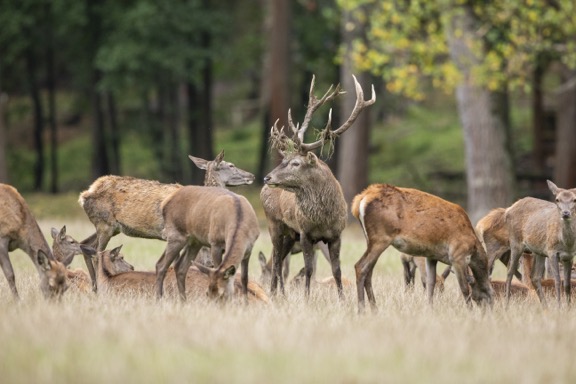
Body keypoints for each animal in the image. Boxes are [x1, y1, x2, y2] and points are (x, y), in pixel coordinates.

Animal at [79, 152, 254, 290]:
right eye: (231, 165)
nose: (251, 175)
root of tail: (84, 195)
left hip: (110, 227)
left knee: (86, 244)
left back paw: (94, 288)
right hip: (105, 224)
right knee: (97, 252)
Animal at [262, 73, 378, 298]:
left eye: (295, 163)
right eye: (284, 160)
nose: (267, 178)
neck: (323, 217)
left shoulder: (336, 235)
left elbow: (337, 270)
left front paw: (342, 298)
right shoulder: (306, 234)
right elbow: (308, 269)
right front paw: (307, 298)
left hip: (290, 235)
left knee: (279, 263)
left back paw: (281, 295)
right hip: (274, 225)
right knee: (276, 263)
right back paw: (273, 294)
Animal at [354, 183, 492, 312]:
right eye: (491, 294)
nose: (490, 309)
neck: (473, 246)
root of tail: (360, 200)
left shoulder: (431, 256)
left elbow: (430, 284)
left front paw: (429, 309)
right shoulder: (457, 255)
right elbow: (464, 288)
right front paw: (470, 312)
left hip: (370, 239)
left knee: (369, 272)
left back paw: (374, 310)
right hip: (381, 237)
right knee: (360, 266)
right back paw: (361, 310)